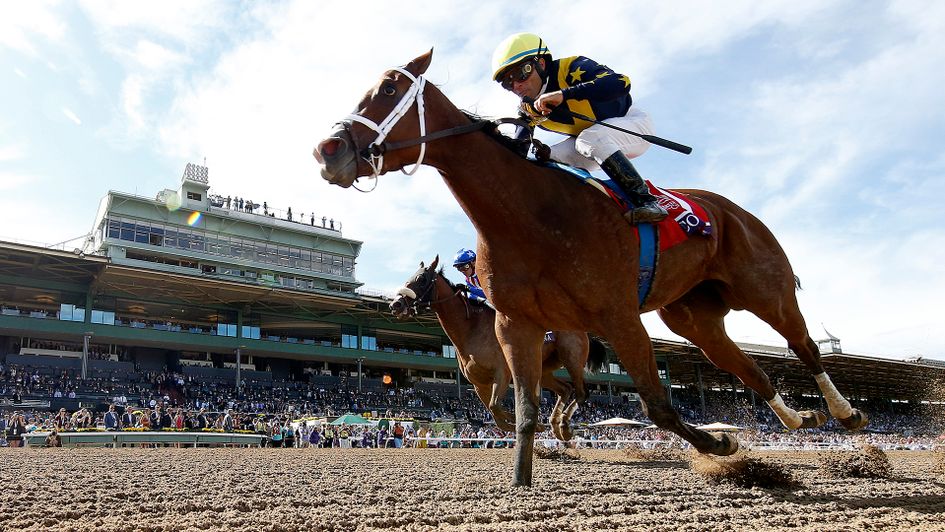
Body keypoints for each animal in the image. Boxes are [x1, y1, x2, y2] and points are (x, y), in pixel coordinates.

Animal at [389, 255, 607, 440]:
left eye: (422, 278)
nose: (395, 305)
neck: (472, 330)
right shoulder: (479, 383)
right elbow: (495, 414)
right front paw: (531, 424)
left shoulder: (502, 372)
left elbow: (496, 407)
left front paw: (531, 424)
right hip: (544, 369)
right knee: (565, 389)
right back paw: (554, 424)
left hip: (572, 357)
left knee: (581, 392)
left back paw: (564, 427)